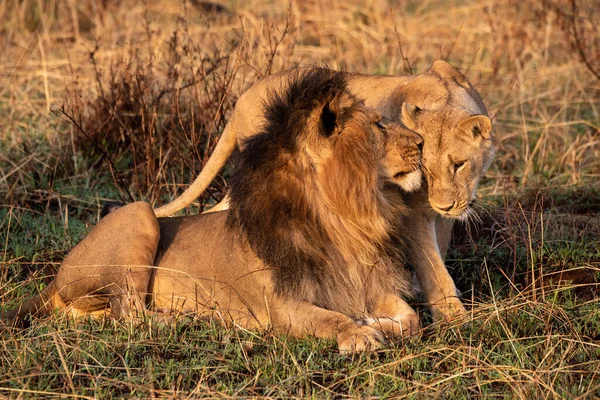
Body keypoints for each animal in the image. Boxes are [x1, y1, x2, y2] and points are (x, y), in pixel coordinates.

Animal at [1, 69, 422, 354]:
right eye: (379, 125)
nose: (419, 141)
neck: (342, 219)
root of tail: (56, 275)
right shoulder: (282, 306)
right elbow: (330, 318)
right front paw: (359, 333)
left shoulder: (363, 283)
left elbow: (410, 319)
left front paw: (374, 322)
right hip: (139, 213)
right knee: (130, 314)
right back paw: (191, 319)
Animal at [152, 60, 494, 322]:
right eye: (426, 169)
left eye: (459, 164)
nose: (444, 205)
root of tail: (240, 100)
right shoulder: (412, 211)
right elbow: (431, 264)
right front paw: (452, 314)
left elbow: (440, 252)